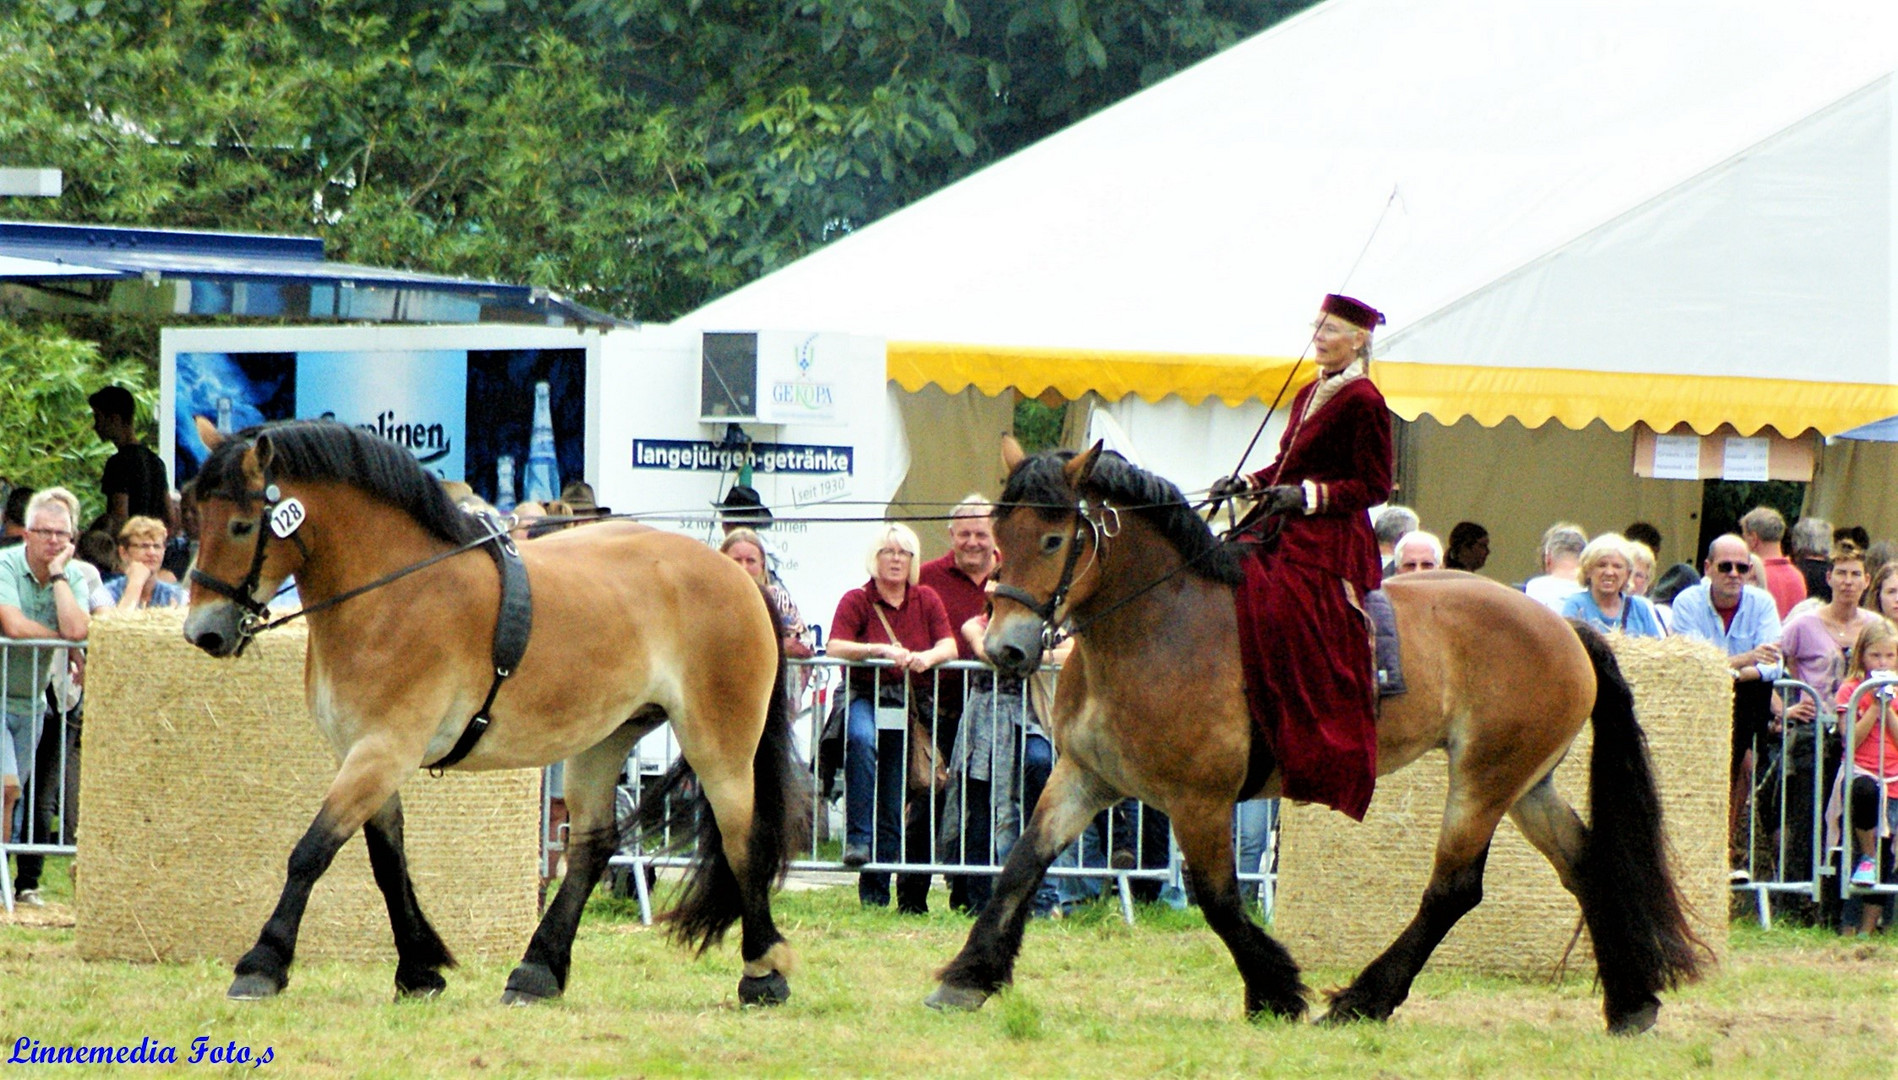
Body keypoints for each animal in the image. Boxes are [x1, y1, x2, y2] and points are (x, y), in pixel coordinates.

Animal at [176, 419, 800, 1002]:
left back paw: (763, 973)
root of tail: (735, 575)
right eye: (195, 517)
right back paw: (537, 972)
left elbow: (311, 851)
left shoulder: (382, 751)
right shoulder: (363, 755)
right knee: (591, 845)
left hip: (719, 743)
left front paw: (262, 963)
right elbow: (386, 863)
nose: (203, 633)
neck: (392, 592)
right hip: (605, 739)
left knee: (742, 839)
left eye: (241, 525)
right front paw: (419, 970)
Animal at [926, 440, 1715, 1032]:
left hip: (1484, 779)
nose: (1004, 649)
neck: (1156, 625)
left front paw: (1276, 991)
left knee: (1453, 889)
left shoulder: (1201, 798)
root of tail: (1564, 626)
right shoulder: (1084, 777)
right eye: (995, 537)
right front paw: (967, 976)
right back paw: (1631, 1003)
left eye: (1054, 538)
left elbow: (1219, 897)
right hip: (1527, 783)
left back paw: (1365, 998)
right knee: (1584, 865)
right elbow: (1021, 863)